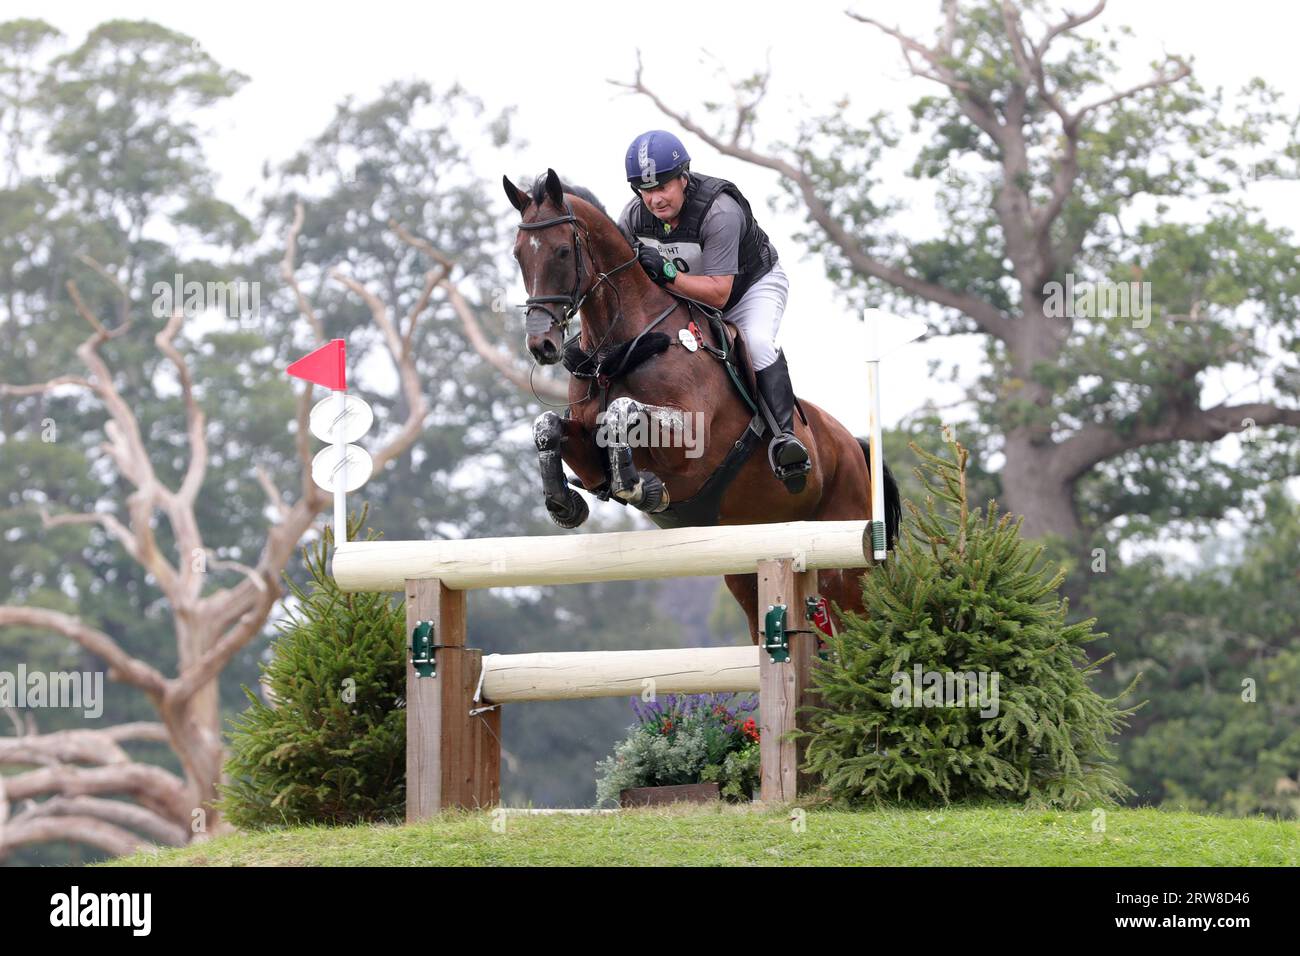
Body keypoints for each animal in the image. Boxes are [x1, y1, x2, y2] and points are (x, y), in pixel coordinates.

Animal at [501, 170, 899, 642]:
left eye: (563, 251)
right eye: (518, 255)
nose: (541, 345)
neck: (622, 349)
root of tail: (853, 445)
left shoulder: (693, 444)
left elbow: (623, 413)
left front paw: (640, 486)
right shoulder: (591, 459)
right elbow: (549, 426)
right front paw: (564, 503)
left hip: (846, 563)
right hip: (747, 565)